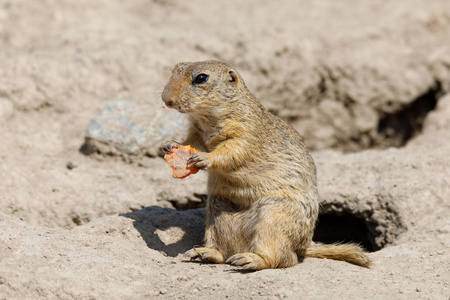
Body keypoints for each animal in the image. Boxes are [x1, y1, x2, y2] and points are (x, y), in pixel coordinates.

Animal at [162, 59, 372, 270]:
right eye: (175, 69)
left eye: (201, 78)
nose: (166, 99)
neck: (207, 119)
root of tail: (303, 248)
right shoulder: (196, 132)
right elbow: (192, 143)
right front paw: (170, 145)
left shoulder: (246, 131)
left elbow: (231, 151)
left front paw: (203, 158)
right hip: (217, 214)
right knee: (224, 253)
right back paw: (203, 253)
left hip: (273, 217)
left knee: (283, 259)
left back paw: (249, 259)